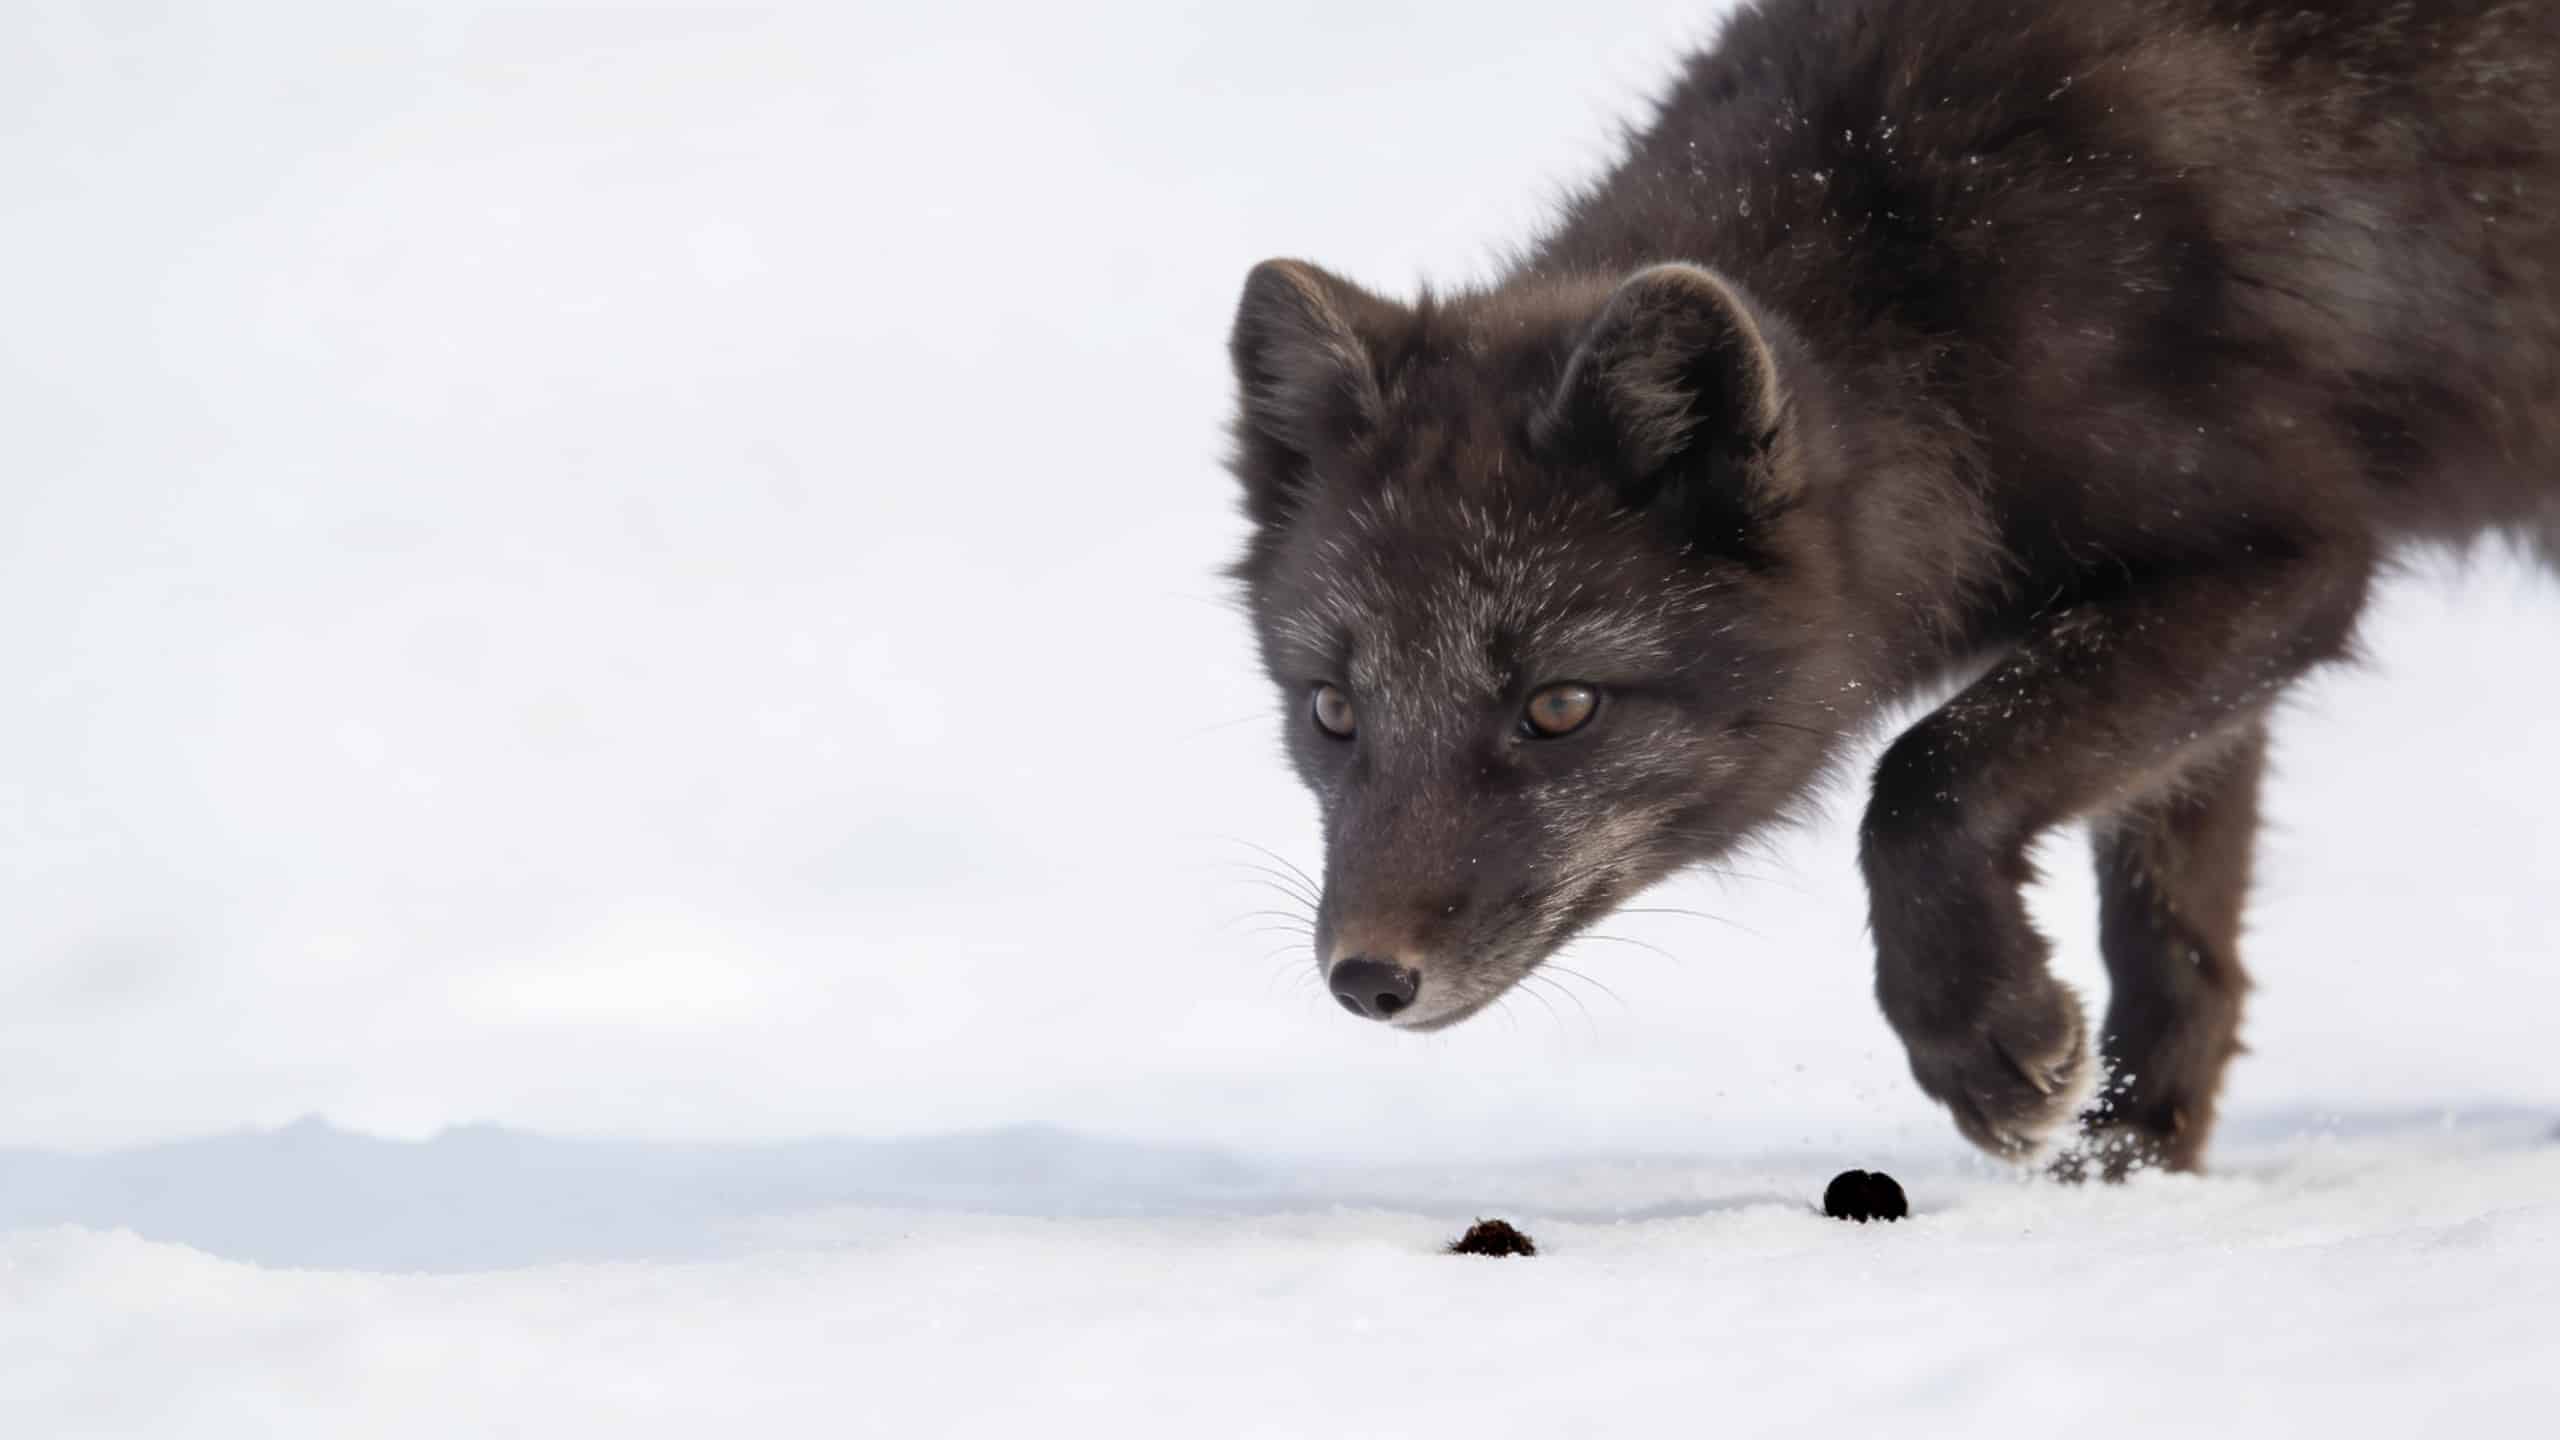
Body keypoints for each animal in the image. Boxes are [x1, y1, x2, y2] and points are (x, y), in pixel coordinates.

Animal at [1224, 0, 2560, 1176]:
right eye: (1331, 711)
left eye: (1559, 707)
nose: (1367, 979)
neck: (1934, 287)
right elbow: (2176, 946)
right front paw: (2126, 1175)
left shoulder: (2290, 557)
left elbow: (1927, 770)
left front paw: (1983, 1041)